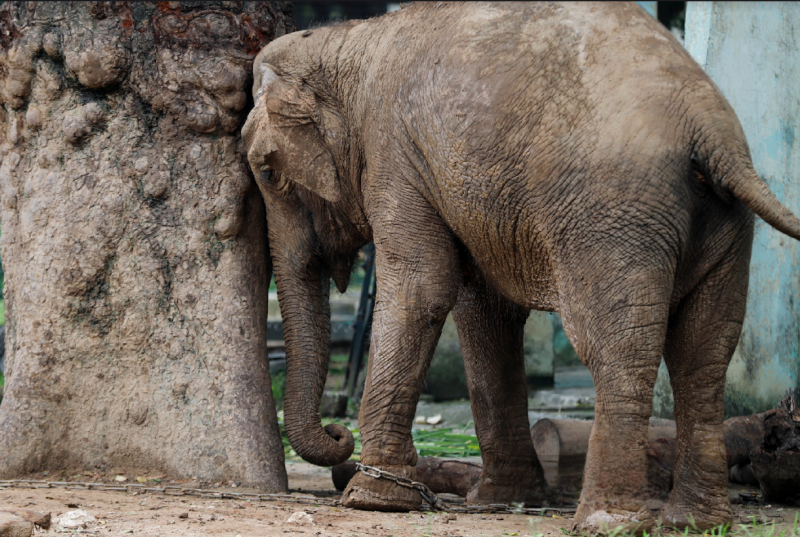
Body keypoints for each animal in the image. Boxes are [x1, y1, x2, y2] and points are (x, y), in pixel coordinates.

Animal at [241, 2, 800, 532]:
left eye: (267, 172)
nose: (338, 434)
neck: (350, 41)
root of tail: (711, 132)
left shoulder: (396, 158)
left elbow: (423, 288)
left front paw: (371, 499)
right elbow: (484, 311)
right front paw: (502, 498)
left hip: (610, 218)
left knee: (617, 348)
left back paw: (607, 522)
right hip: (724, 226)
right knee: (703, 356)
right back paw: (696, 522)